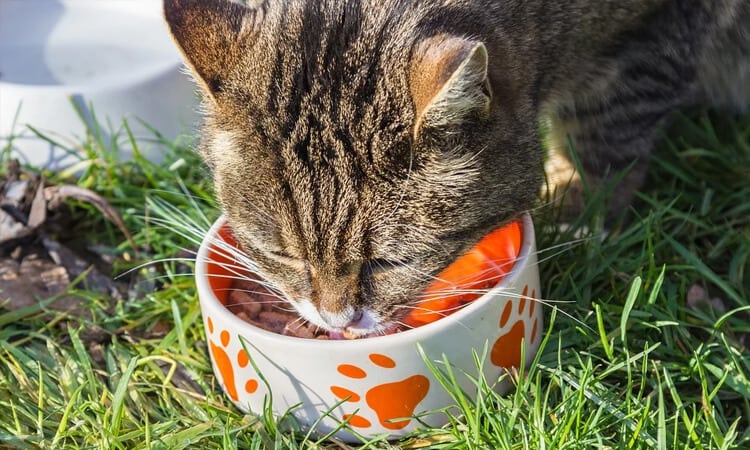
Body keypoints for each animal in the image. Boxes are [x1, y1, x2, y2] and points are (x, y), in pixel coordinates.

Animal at [166, 0, 750, 338]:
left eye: (390, 262)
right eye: (283, 255)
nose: (337, 321)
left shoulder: (660, 31)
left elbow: (608, 129)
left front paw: (580, 212)